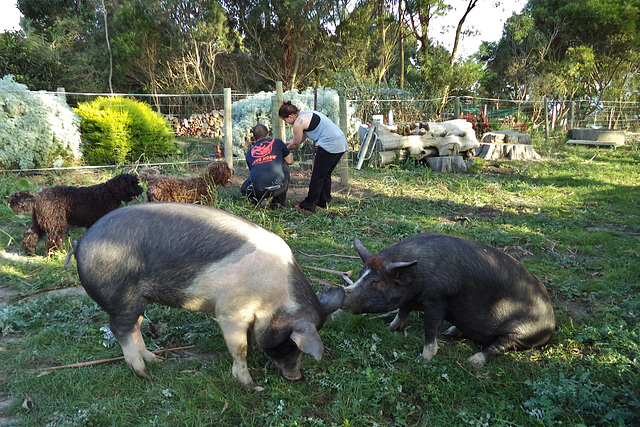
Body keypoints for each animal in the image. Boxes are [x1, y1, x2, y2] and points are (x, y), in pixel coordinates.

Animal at [8, 174, 142, 254]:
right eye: (132, 183)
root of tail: (37, 198)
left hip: (41, 222)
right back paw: (56, 253)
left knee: (30, 235)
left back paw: (30, 251)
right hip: (56, 223)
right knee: (52, 240)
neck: (110, 192)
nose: (141, 189)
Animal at [69, 203, 344, 388]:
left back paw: (156, 361)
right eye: (291, 343)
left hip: (138, 300)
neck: (274, 299)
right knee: (119, 329)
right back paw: (144, 373)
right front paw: (250, 384)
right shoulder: (230, 312)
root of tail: (80, 244)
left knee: (135, 326)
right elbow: (240, 347)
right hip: (122, 298)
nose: (296, 377)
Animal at [340, 234, 556, 368]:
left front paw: (424, 360)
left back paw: (472, 362)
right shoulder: (410, 298)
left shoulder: (437, 299)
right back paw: (450, 332)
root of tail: (552, 324)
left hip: (522, 331)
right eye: (361, 274)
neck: (418, 279)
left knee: (499, 345)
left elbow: (430, 328)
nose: (343, 293)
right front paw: (390, 329)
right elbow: (402, 311)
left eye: (375, 281)